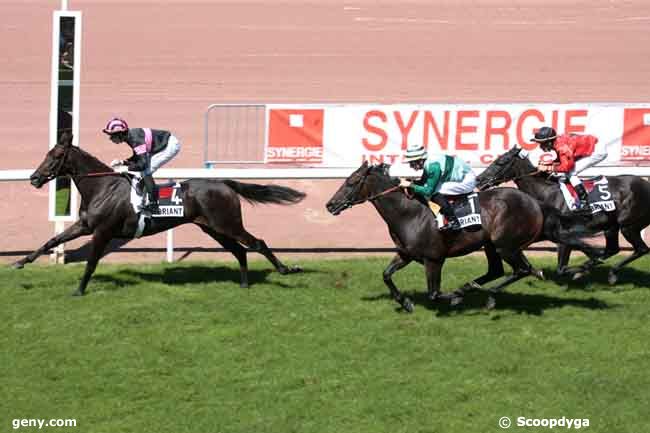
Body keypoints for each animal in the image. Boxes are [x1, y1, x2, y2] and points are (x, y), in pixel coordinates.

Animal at [12, 132, 306, 294]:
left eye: (55, 156)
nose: (34, 178)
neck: (102, 187)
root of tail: (224, 183)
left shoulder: (103, 231)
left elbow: (92, 262)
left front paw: (79, 290)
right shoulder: (85, 226)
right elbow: (52, 241)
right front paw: (20, 262)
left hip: (227, 224)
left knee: (257, 243)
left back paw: (286, 270)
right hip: (213, 227)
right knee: (240, 250)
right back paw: (245, 284)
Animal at [326, 162, 548, 310]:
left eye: (352, 181)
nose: (330, 205)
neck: (409, 213)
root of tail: (534, 203)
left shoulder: (434, 259)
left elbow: (434, 294)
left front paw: (454, 297)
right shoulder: (406, 254)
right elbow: (386, 274)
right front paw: (405, 302)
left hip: (505, 245)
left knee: (523, 269)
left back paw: (486, 293)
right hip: (492, 245)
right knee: (499, 270)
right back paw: (472, 287)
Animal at [474, 145, 648, 284]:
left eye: (500, 162)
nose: (479, 179)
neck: (546, 193)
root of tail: (646, 184)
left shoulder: (563, 235)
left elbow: (561, 268)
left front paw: (577, 272)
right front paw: (535, 272)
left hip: (628, 225)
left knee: (642, 249)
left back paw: (609, 272)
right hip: (610, 226)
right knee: (613, 249)